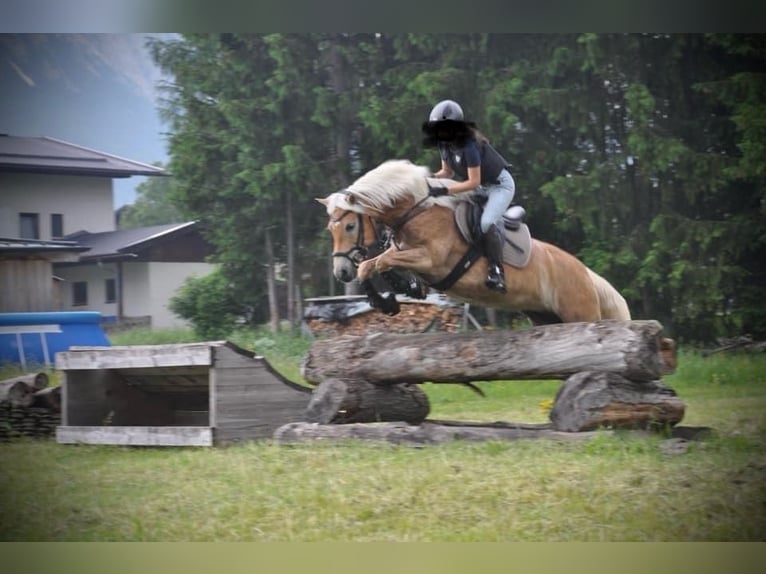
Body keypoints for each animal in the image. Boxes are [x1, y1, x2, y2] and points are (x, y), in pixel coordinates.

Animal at [318, 160, 632, 326]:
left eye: (350, 226)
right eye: (330, 228)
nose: (340, 272)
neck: (416, 212)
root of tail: (586, 273)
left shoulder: (430, 260)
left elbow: (375, 263)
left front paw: (384, 301)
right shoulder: (408, 255)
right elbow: (377, 264)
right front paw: (397, 294)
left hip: (580, 313)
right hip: (545, 316)